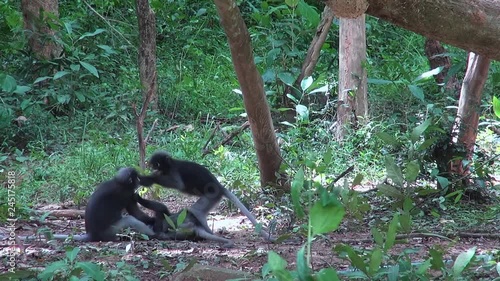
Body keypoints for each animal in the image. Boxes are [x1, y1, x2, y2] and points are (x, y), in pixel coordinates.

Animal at [139, 150, 276, 242]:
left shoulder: (174, 172)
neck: (170, 165)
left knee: (196, 210)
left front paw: (149, 178)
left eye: (157, 164)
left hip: (212, 195)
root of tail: (220, 187)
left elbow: (178, 184)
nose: (153, 169)